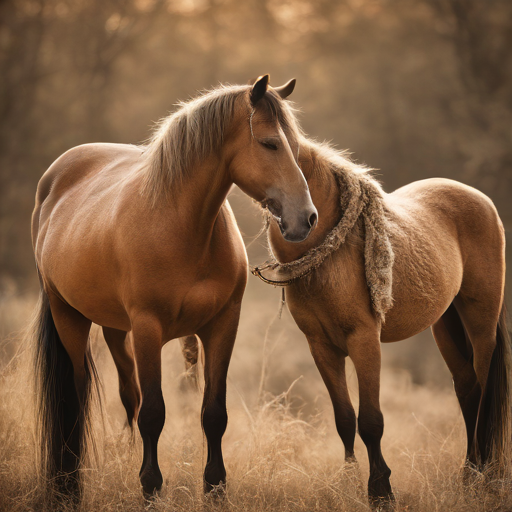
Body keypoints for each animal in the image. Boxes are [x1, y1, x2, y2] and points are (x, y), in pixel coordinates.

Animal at [31, 73, 316, 500]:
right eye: (270, 143)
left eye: (295, 146)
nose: (307, 218)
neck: (181, 224)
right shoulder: (148, 328)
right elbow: (154, 413)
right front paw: (151, 488)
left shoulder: (222, 326)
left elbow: (213, 413)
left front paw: (215, 488)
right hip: (70, 320)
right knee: (74, 400)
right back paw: (68, 486)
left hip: (116, 328)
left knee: (127, 394)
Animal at [250, 133, 510, 508]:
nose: (297, 223)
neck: (332, 252)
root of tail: (482, 200)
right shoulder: (322, 347)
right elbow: (344, 418)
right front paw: (348, 485)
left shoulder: (364, 340)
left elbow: (370, 421)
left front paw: (380, 491)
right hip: (446, 326)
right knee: (468, 389)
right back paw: (470, 475)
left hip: (480, 323)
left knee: (486, 390)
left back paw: (487, 476)